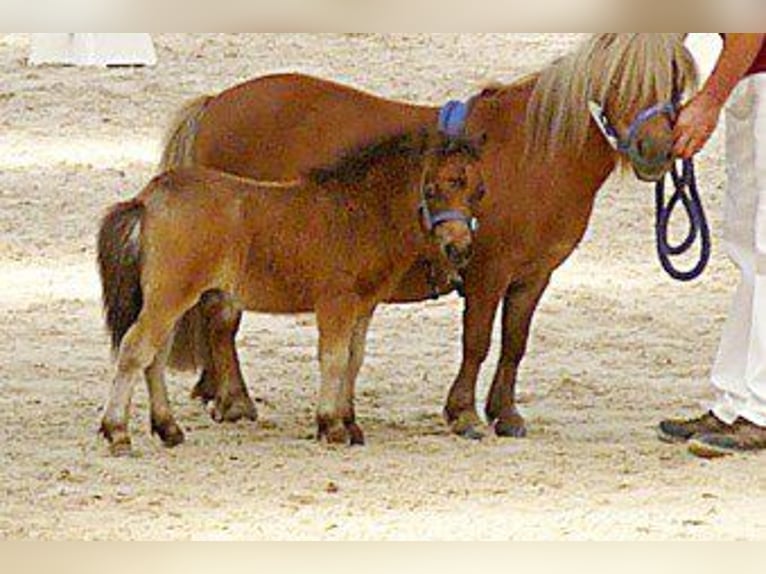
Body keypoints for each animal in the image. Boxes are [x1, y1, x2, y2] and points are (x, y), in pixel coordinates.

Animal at [97, 131, 485, 455]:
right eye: (434, 187)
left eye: (478, 191)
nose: (460, 249)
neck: (358, 215)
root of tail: (148, 198)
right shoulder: (335, 304)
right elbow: (334, 359)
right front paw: (331, 426)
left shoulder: (363, 307)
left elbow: (354, 360)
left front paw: (349, 423)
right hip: (170, 297)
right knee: (135, 350)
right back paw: (118, 432)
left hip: (171, 301)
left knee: (155, 357)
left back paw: (168, 429)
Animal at [158, 34, 699, 440]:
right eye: (619, 79)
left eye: (674, 75)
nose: (655, 150)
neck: (535, 152)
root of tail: (215, 103)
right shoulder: (487, 272)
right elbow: (477, 342)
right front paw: (463, 413)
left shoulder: (532, 278)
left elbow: (514, 343)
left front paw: (505, 414)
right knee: (221, 320)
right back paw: (235, 400)